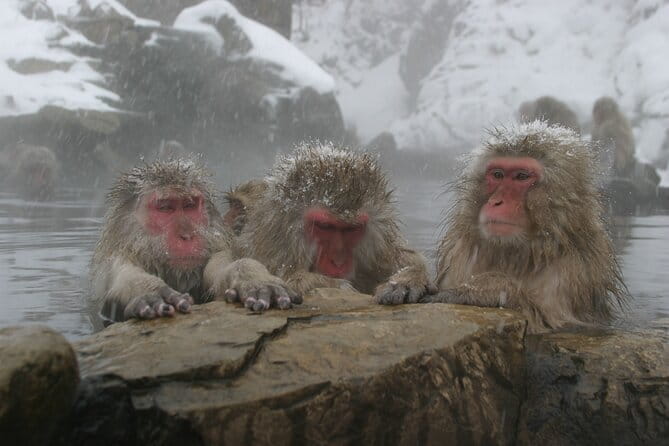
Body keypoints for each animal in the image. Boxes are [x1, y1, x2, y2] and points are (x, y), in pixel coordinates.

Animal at [90, 158, 301, 322]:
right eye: (165, 208)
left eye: (189, 205)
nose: (187, 235)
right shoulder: (117, 258)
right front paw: (148, 290)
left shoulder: (217, 251)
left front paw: (254, 278)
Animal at [238, 142, 436, 303]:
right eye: (325, 226)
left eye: (352, 229)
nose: (338, 261)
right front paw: (335, 285)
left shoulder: (380, 252)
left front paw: (407, 279)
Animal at [416, 122, 628, 333]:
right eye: (498, 174)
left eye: (521, 176)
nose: (496, 202)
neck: (519, 253)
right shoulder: (460, 253)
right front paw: (412, 278)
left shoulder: (573, 271)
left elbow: (546, 321)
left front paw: (481, 289)